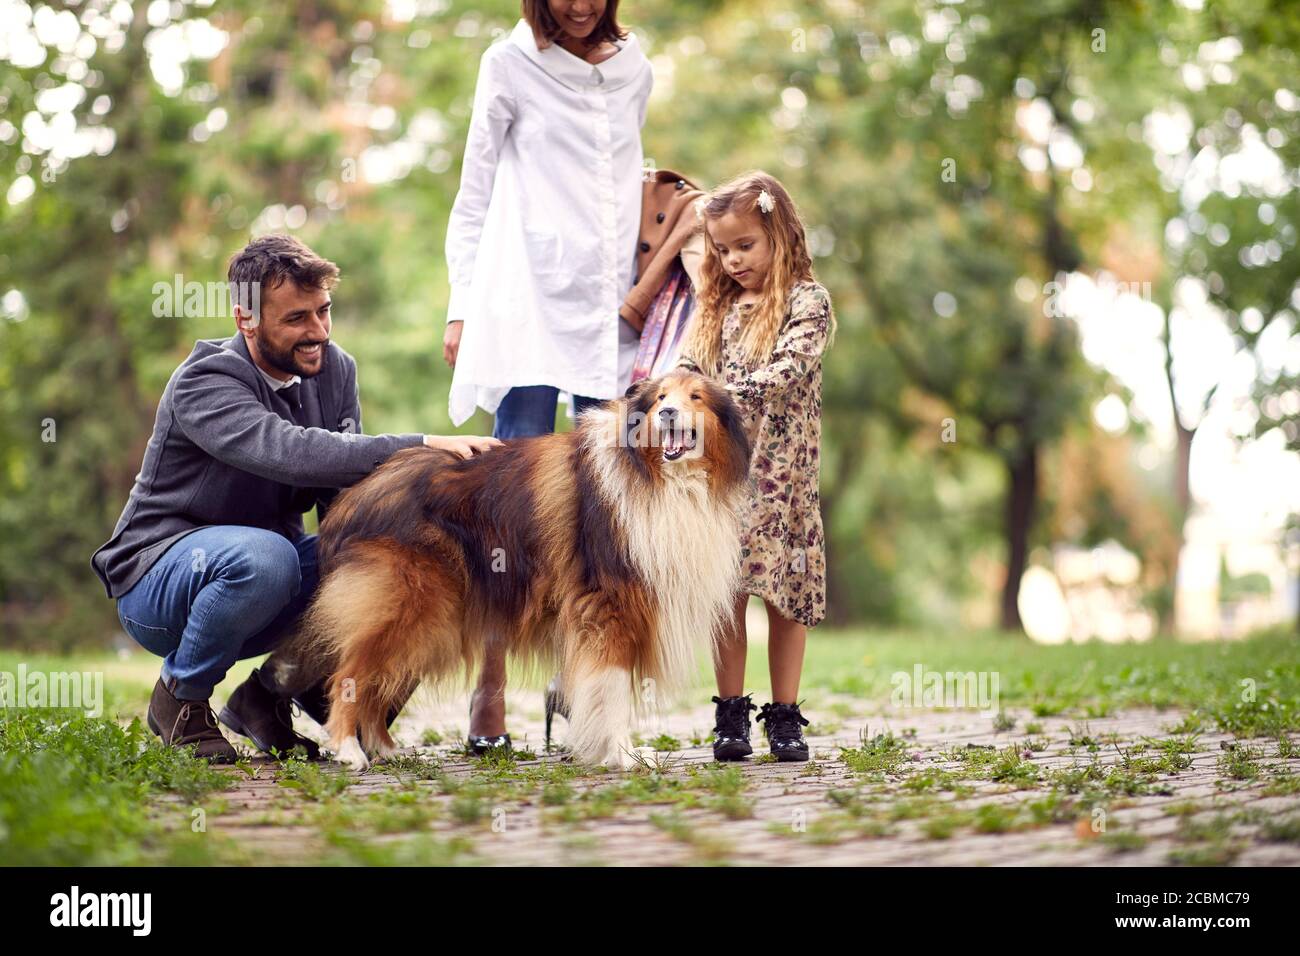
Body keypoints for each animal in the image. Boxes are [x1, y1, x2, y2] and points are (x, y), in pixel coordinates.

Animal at [301, 369, 754, 770]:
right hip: (408, 604)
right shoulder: (609, 607)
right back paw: (349, 751)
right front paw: (623, 756)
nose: (668, 413)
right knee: (350, 676)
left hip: (430, 619)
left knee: (379, 683)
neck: (658, 476)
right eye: (660, 398)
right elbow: (612, 690)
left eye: (696, 397)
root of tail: (358, 492)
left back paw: (386, 750)